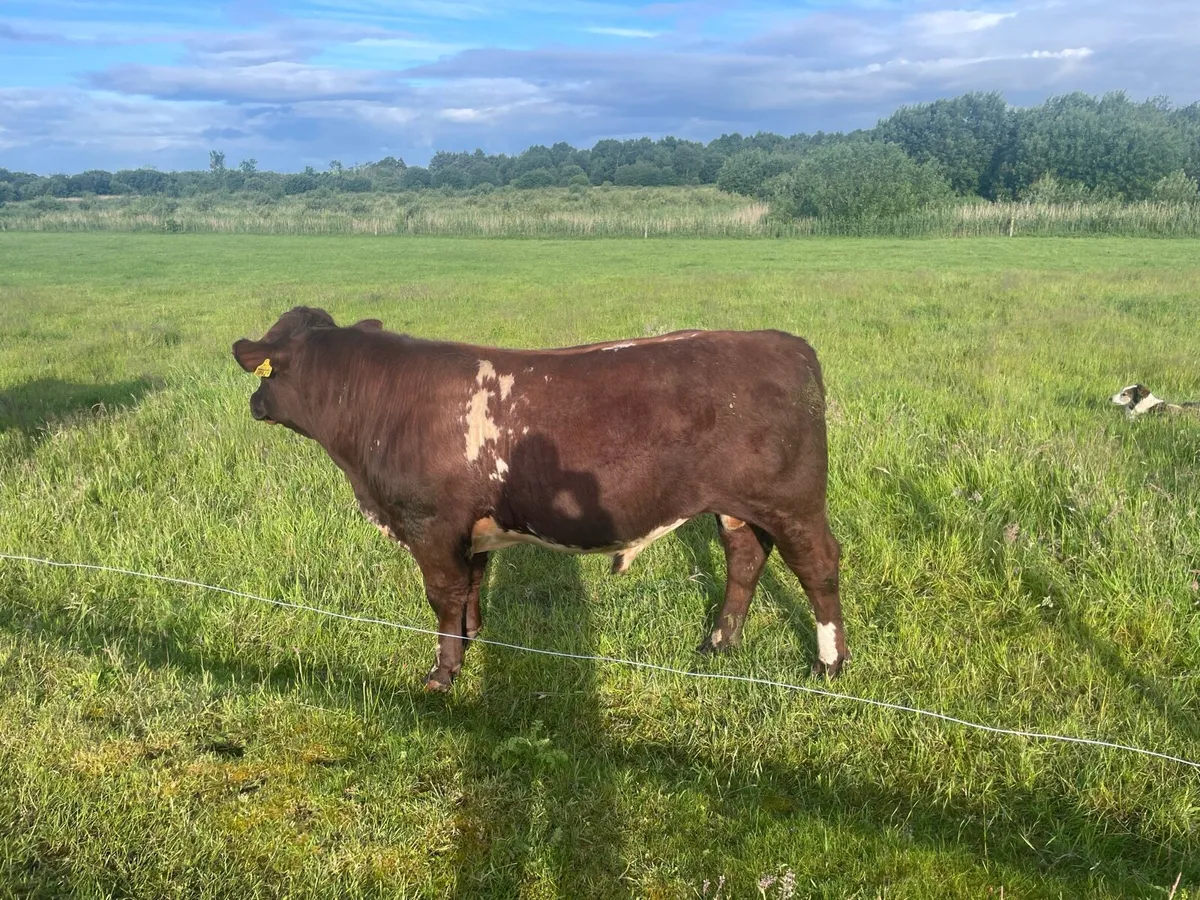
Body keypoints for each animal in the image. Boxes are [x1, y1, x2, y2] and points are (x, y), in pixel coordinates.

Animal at [232, 306, 847, 691]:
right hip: (735, 506)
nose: (254, 404)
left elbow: (443, 595)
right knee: (745, 560)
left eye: (268, 368)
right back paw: (717, 645)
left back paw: (829, 664)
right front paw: (472, 639)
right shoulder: (470, 529)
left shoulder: (431, 524)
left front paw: (442, 673)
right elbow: (471, 586)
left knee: (818, 567)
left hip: (793, 503)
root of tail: (783, 342)